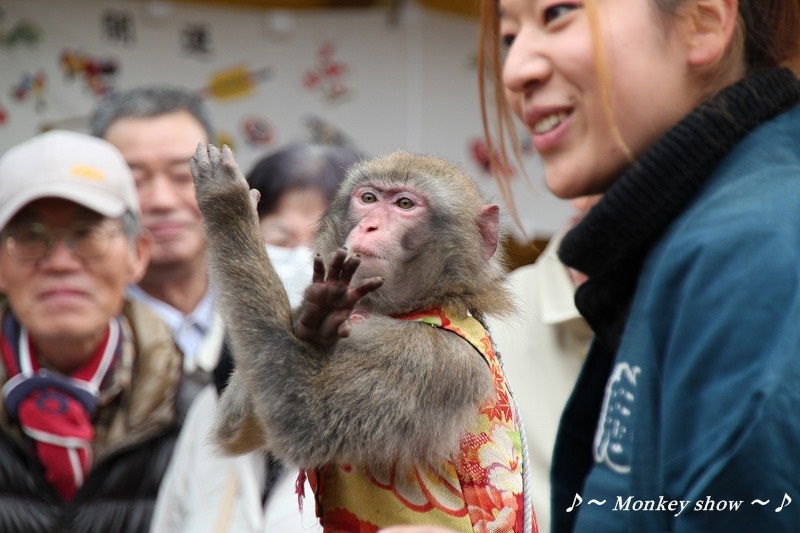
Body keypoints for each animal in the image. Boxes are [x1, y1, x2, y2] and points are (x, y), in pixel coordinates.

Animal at [190, 144, 536, 532]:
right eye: (368, 198)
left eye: (405, 204)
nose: (369, 225)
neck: (431, 302)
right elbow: (238, 427)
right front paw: (313, 316)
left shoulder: (429, 361)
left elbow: (304, 418)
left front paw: (227, 203)